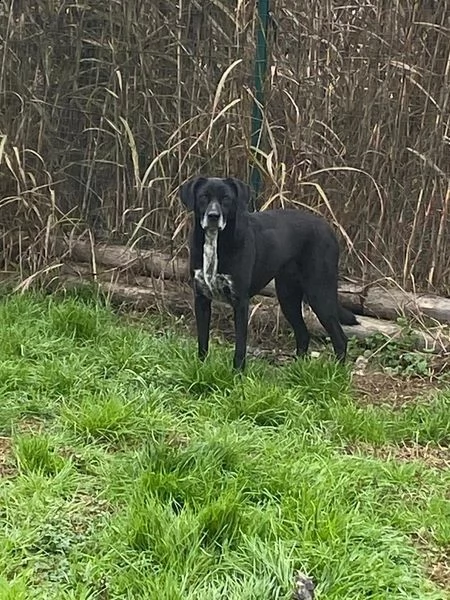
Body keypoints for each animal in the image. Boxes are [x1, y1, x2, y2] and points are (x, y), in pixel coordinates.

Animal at [180, 176, 358, 370]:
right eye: (203, 197)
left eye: (226, 198)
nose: (213, 216)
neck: (214, 241)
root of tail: (329, 228)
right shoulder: (201, 298)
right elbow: (202, 342)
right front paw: (200, 367)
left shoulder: (240, 302)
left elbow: (240, 347)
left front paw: (237, 374)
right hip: (288, 297)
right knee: (303, 334)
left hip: (319, 293)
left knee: (340, 339)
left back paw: (337, 372)